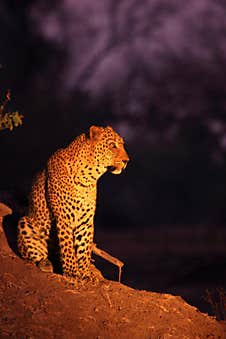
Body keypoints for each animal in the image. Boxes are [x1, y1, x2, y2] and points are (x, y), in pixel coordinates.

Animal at [17, 126, 129, 282]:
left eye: (122, 145)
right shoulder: (64, 217)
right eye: (112, 145)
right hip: (25, 222)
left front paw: (85, 273)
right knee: (31, 254)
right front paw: (72, 273)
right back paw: (46, 263)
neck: (88, 177)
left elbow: (84, 247)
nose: (127, 161)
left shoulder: (86, 220)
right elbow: (68, 246)